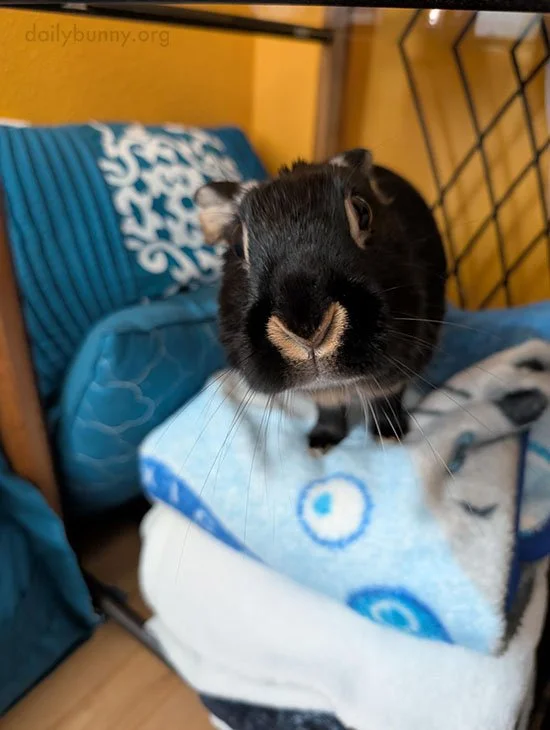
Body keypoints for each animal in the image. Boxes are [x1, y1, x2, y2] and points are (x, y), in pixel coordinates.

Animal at [195, 148, 447, 452]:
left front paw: (388, 435)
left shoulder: (401, 365)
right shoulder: (325, 395)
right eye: (235, 245)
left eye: (363, 212)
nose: (308, 330)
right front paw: (321, 444)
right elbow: (329, 409)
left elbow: (386, 399)